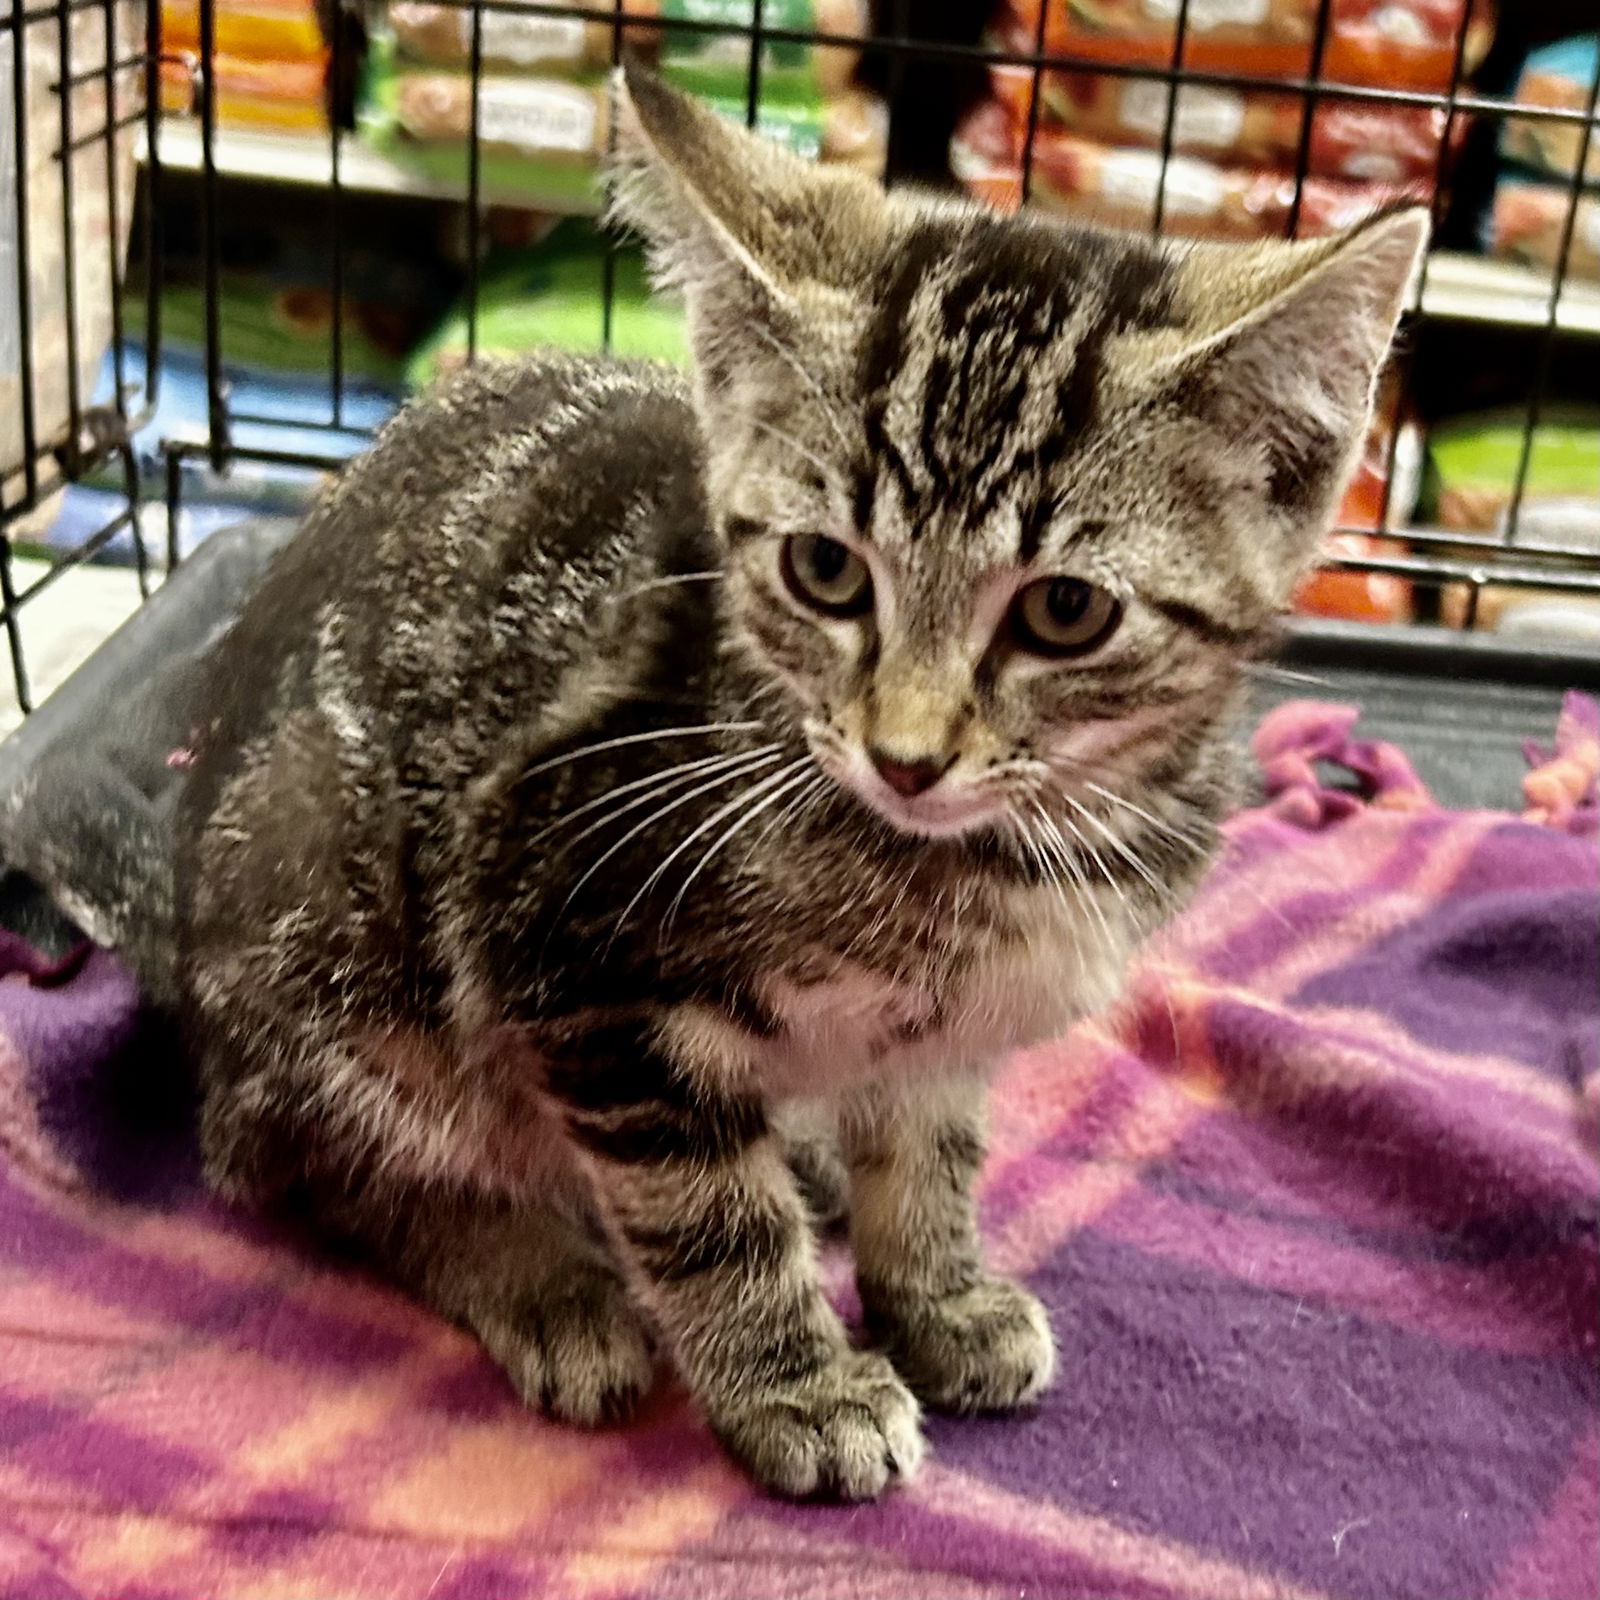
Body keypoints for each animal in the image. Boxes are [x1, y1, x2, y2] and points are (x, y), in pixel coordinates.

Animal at [172, 65, 1427, 1497]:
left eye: (1064, 611)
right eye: (827, 571)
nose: (906, 752)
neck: (986, 858)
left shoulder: (949, 1031)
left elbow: (931, 1151)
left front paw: (936, 1291)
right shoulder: (567, 944)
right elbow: (706, 1212)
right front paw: (799, 1382)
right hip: (328, 933)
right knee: (316, 1159)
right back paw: (546, 1281)